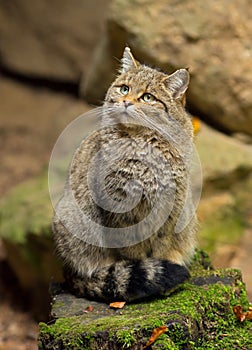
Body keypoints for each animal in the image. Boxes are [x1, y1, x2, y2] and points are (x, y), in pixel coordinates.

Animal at [52, 46, 198, 302]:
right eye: (124, 88)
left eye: (148, 97)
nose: (126, 102)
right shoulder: (120, 210)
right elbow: (133, 252)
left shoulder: (171, 209)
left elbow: (161, 246)